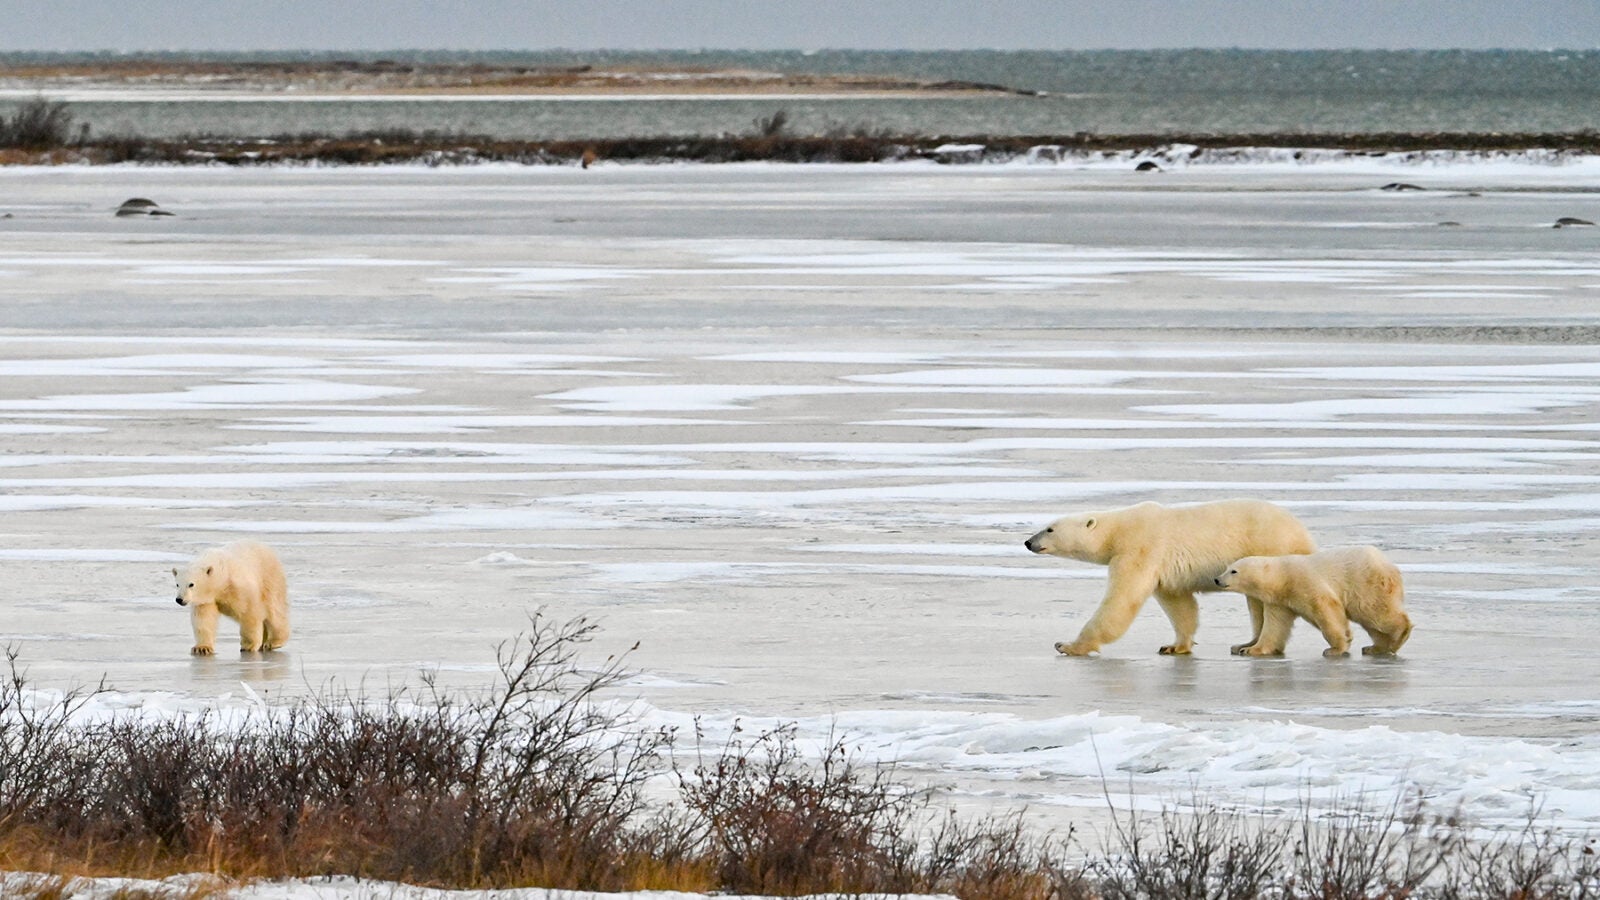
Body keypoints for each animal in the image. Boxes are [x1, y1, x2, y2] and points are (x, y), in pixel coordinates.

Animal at [1024, 499, 1316, 656]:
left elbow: (1121, 600)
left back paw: (1256, 646)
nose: (1028, 542)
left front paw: (1068, 645)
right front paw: (1175, 646)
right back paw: (1246, 642)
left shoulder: (1139, 549)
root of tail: (1303, 533)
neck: (1119, 530)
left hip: (1271, 549)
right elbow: (1179, 604)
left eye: (1049, 528)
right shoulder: (1162, 568)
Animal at [1213, 546, 1411, 658]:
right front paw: (1249, 650)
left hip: (1366, 584)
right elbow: (1275, 626)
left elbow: (1327, 610)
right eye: (1227, 568)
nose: (1217, 579)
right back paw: (1375, 648)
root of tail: (1388, 565)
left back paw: (1399, 637)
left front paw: (1335, 649)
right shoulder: (1280, 601)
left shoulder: (1304, 581)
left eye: (1234, 571)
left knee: (1374, 611)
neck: (1283, 578)